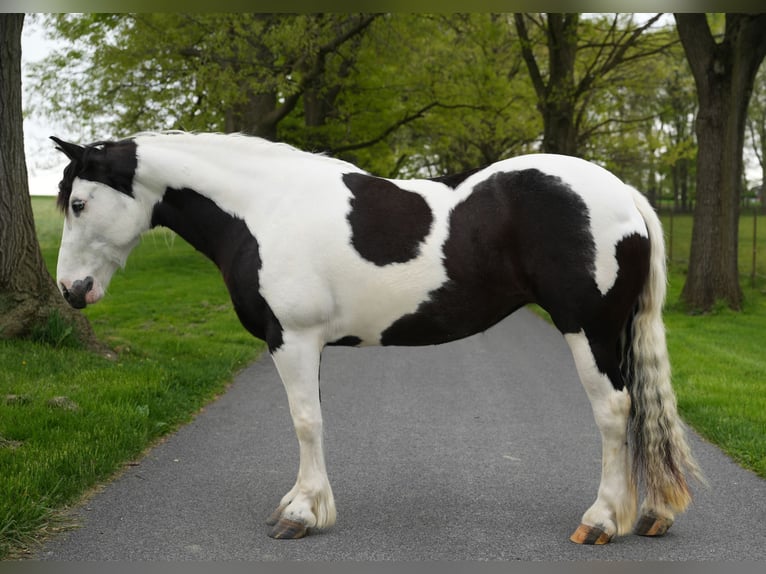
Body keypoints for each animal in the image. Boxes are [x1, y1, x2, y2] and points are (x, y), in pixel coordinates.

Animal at [51, 131, 702, 544]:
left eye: (79, 202)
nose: (71, 290)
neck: (264, 210)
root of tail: (625, 194)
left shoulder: (292, 339)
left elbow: (306, 422)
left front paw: (301, 514)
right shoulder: (303, 344)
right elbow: (311, 420)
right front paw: (304, 503)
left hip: (589, 329)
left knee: (615, 413)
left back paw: (602, 521)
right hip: (615, 333)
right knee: (640, 412)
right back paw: (651, 514)